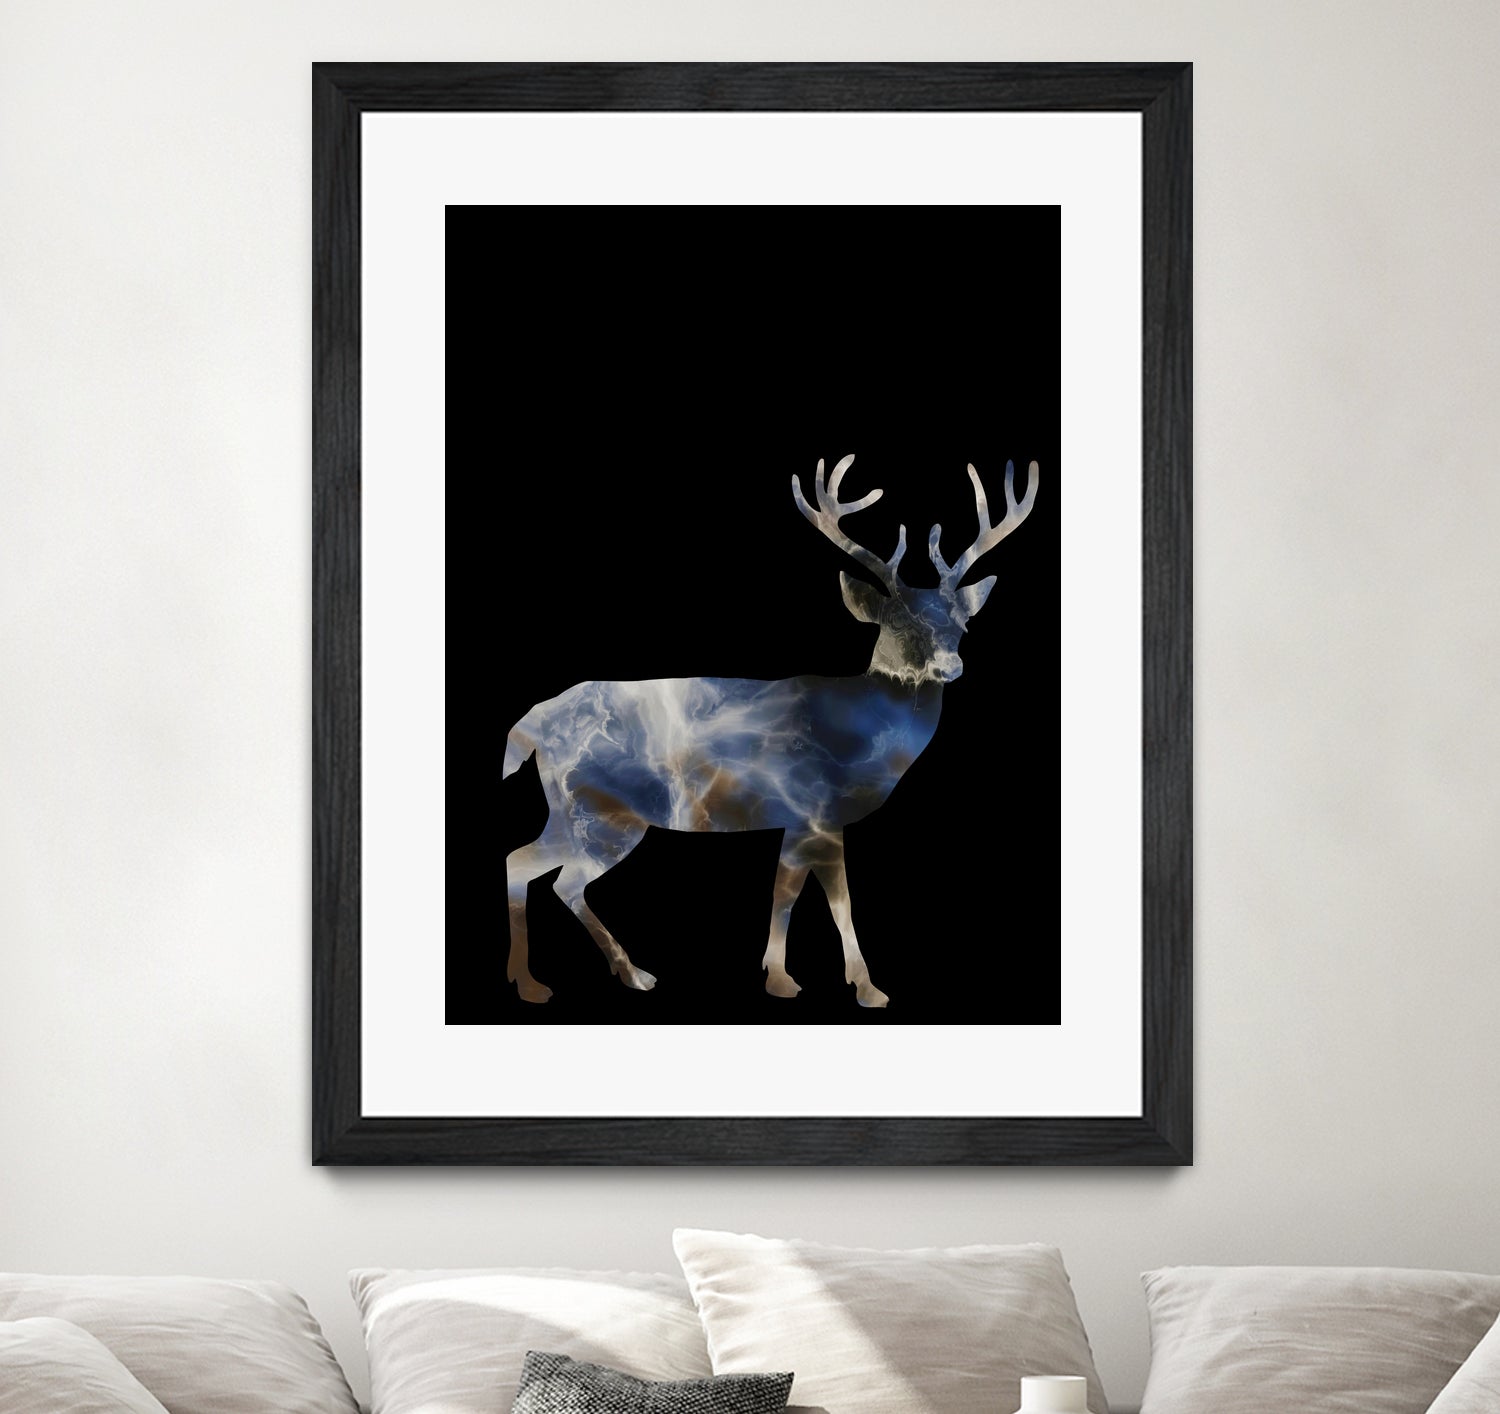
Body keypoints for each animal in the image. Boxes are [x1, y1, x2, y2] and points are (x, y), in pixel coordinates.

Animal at [501, 455, 1037, 1008]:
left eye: (962, 627)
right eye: (898, 624)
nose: (951, 666)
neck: (860, 733)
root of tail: (533, 723)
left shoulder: (800, 820)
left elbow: (787, 893)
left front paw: (784, 975)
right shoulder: (816, 810)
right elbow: (827, 901)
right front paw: (854, 986)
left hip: (575, 812)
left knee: (531, 866)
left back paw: (597, 975)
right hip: (601, 811)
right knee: (548, 874)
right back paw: (566, 979)